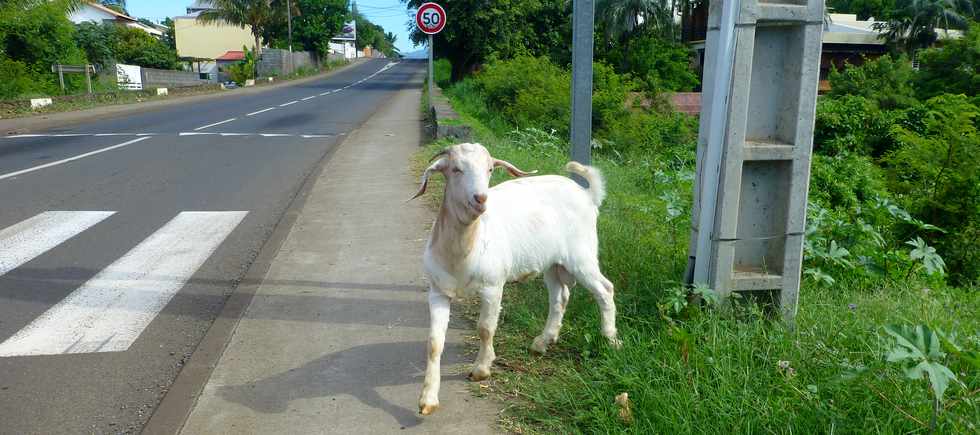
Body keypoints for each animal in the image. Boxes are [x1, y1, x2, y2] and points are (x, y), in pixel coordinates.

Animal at [414, 142, 620, 416]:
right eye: (456, 169)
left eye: (490, 169)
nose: (481, 199)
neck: (464, 250)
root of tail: (587, 194)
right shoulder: (438, 291)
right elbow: (434, 343)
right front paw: (427, 399)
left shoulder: (492, 286)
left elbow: (485, 329)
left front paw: (481, 370)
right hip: (552, 263)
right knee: (560, 296)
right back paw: (542, 342)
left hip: (582, 255)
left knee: (605, 289)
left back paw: (610, 339)